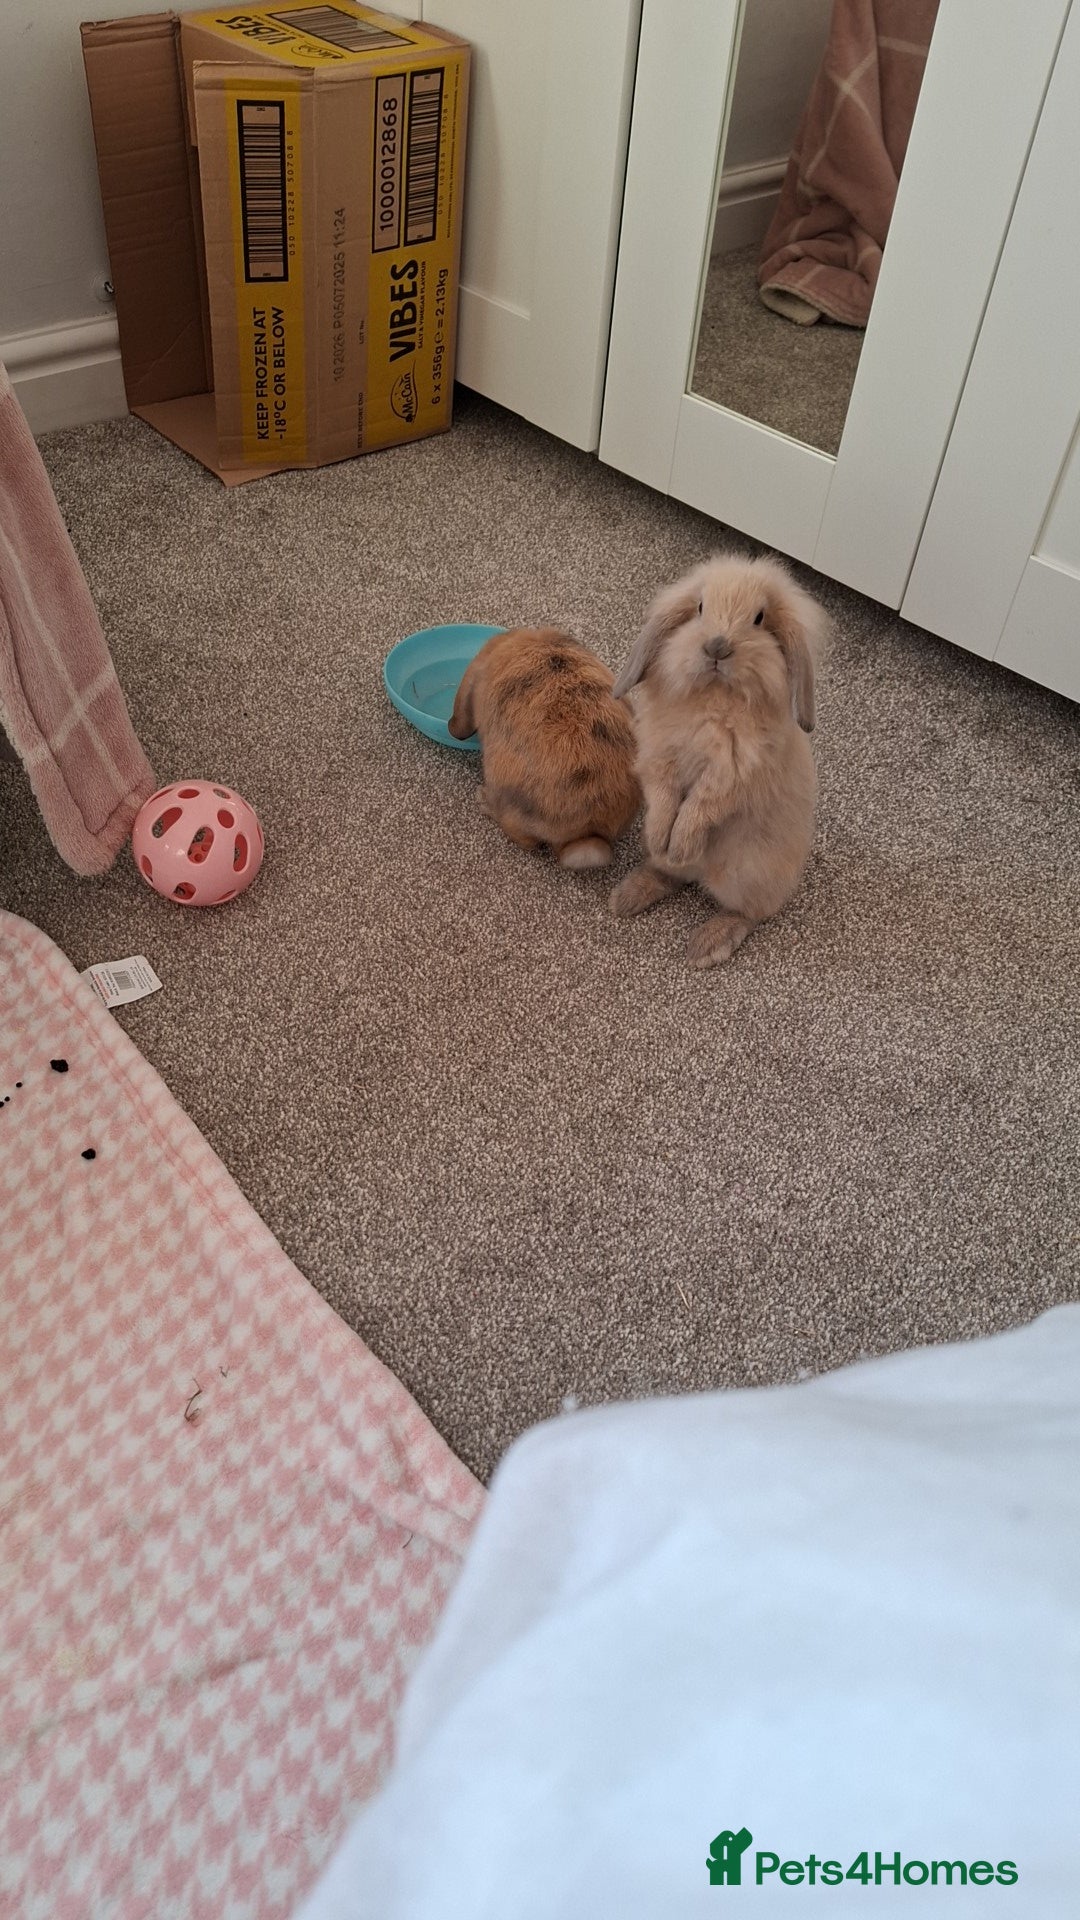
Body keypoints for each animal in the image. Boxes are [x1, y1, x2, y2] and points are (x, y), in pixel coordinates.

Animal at [609, 554, 827, 968]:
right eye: (699, 608)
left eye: (758, 618)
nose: (717, 647)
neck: (714, 697)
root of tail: (703, 873)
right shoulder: (660, 758)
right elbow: (664, 799)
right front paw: (664, 839)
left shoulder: (731, 776)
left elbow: (700, 807)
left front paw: (680, 843)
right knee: (672, 875)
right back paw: (629, 894)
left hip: (749, 872)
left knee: (751, 912)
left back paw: (706, 945)